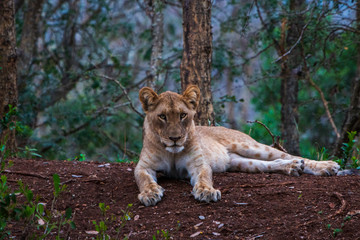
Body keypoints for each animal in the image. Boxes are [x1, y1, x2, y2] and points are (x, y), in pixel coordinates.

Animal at [135, 85, 340, 206]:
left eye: (183, 115)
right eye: (162, 116)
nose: (175, 138)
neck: (172, 153)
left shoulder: (199, 164)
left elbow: (203, 178)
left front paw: (206, 192)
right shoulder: (143, 166)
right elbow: (144, 179)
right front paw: (150, 194)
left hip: (250, 146)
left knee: (290, 155)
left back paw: (326, 167)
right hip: (240, 162)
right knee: (271, 164)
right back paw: (292, 168)